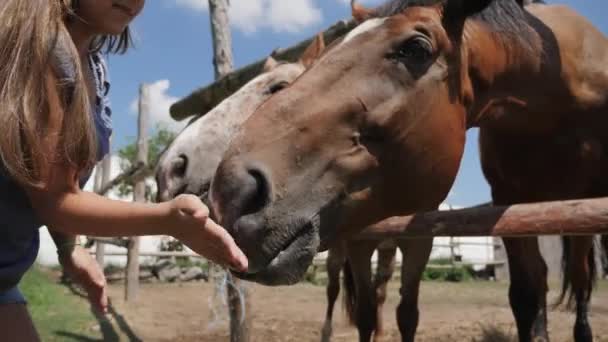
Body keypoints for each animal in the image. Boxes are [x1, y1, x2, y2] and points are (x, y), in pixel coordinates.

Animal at [210, 1, 608, 340]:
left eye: (416, 49)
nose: (232, 192)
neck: (554, 100)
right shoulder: (506, 199)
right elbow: (525, 296)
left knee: (580, 278)